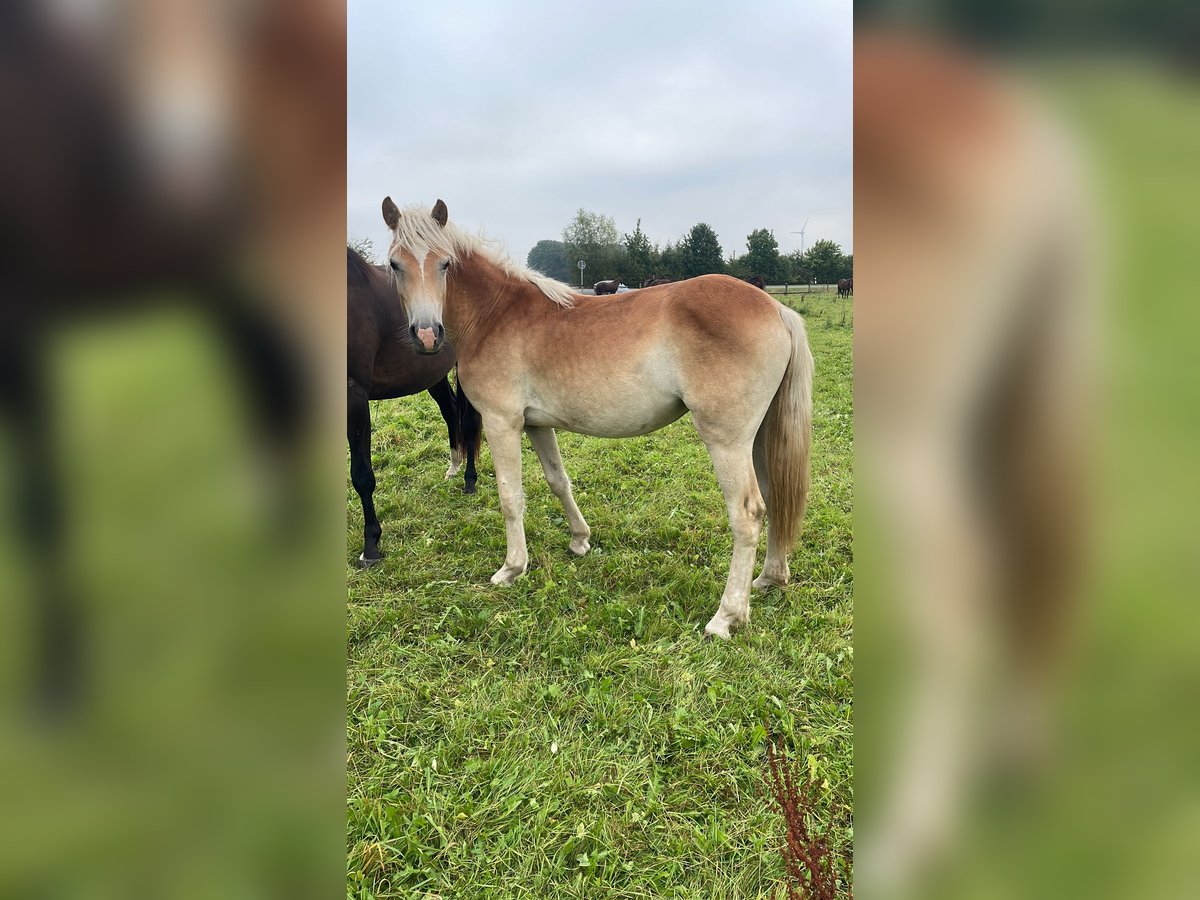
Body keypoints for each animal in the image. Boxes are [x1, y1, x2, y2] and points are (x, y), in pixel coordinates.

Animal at [345, 247, 480, 566]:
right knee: (450, 411)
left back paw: (469, 480)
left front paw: (371, 546)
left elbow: (362, 476)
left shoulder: (354, 396)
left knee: (468, 422)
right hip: (433, 372)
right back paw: (453, 466)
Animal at [384, 199, 816, 643]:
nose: (427, 335)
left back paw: (726, 616)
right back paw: (769, 578)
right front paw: (580, 540)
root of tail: (776, 308)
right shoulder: (537, 424)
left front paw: (512, 567)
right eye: (395, 264)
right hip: (760, 436)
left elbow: (510, 497)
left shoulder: (502, 422)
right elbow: (558, 481)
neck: (496, 315)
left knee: (747, 514)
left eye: (445, 264)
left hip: (727, 441)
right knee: (775, 496)